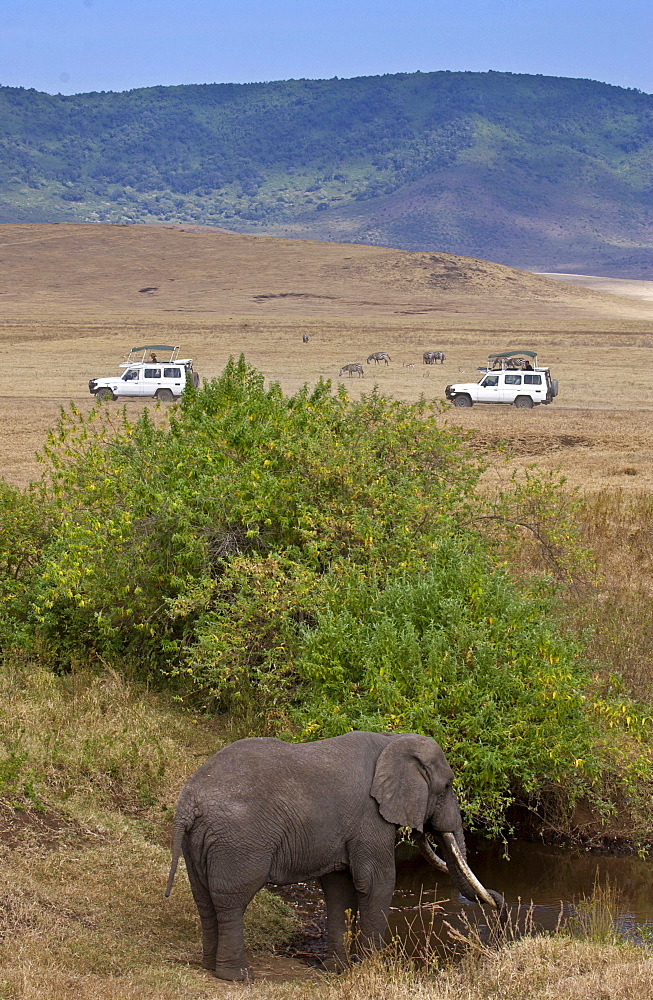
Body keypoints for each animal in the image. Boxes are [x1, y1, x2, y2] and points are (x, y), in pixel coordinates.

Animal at [164, 732, 504, 980]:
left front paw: (337, 970)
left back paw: (210, 967)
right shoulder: (370, 817)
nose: (500, 904)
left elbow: (339, 888)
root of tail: (189, 802)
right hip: (239, 840)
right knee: (232, 900)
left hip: (200, 842)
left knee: (204, 898)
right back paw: (237, 976)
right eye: (446, 786)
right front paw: (371, 969)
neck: (392, 740)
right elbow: (377, 882)